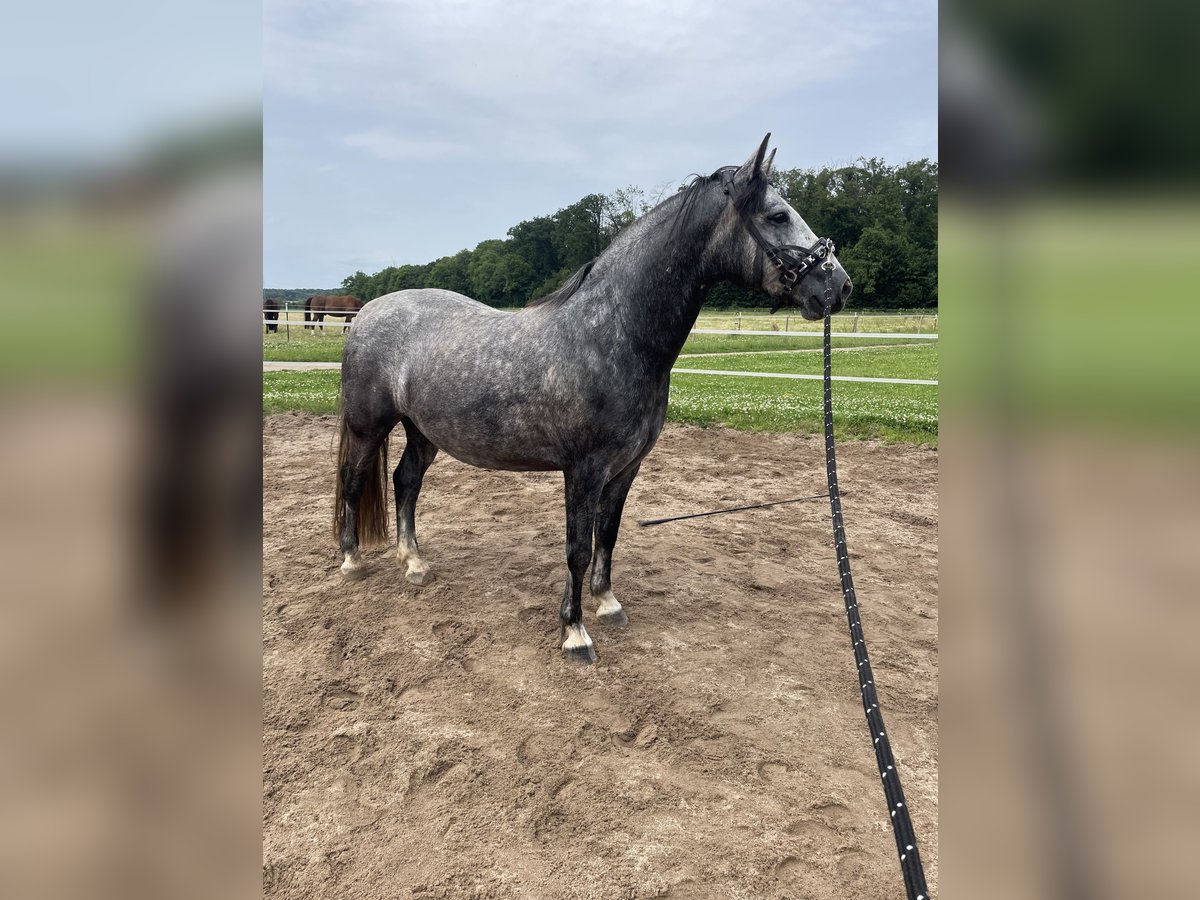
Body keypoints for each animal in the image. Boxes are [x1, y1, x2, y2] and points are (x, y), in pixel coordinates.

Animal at [333, 137, 849, 667]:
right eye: (777, 215)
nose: (839, 286)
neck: (611, 335)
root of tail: (368, 311)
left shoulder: (625, 468)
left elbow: (610, 534)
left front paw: (607, 603)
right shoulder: (584, 469)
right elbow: (578, 547)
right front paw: (574, 633)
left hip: (423, 431)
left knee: (406, 482)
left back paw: (413, 562)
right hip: (368, 426)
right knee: (354, 479)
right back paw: (351, 560)